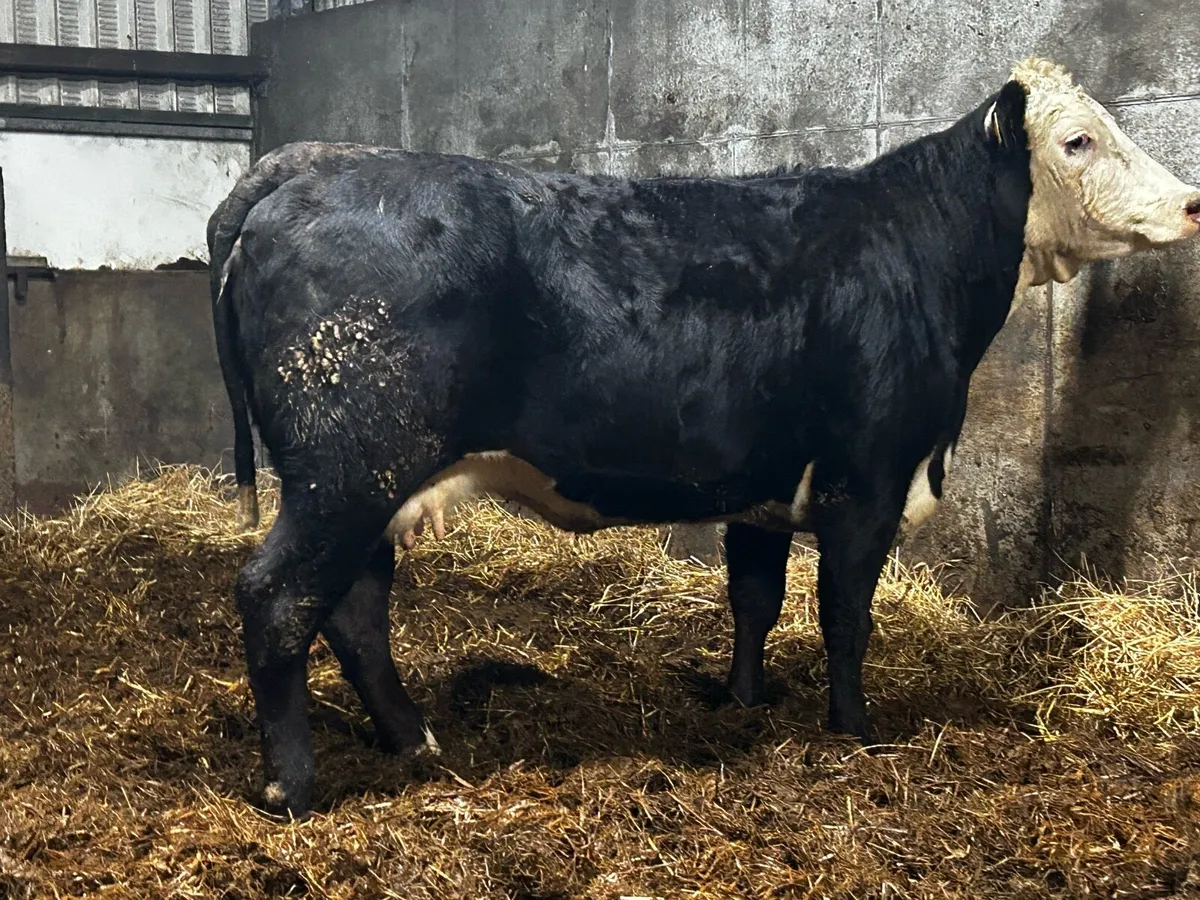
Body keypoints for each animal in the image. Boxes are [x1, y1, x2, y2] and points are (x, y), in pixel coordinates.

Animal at [207, 57, 1200, 819]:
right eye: (1077, 141)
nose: (1192, 204)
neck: (921, 255)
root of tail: (308, 167)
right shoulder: (868, 480)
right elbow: (845, 614)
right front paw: (856, 730)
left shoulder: (763, 485)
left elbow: (754, 600)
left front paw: (741, 701)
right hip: (345, 470)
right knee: (279, 598)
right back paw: (293, 787)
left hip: (365, 481)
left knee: (354, 606)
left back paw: (414, 741)